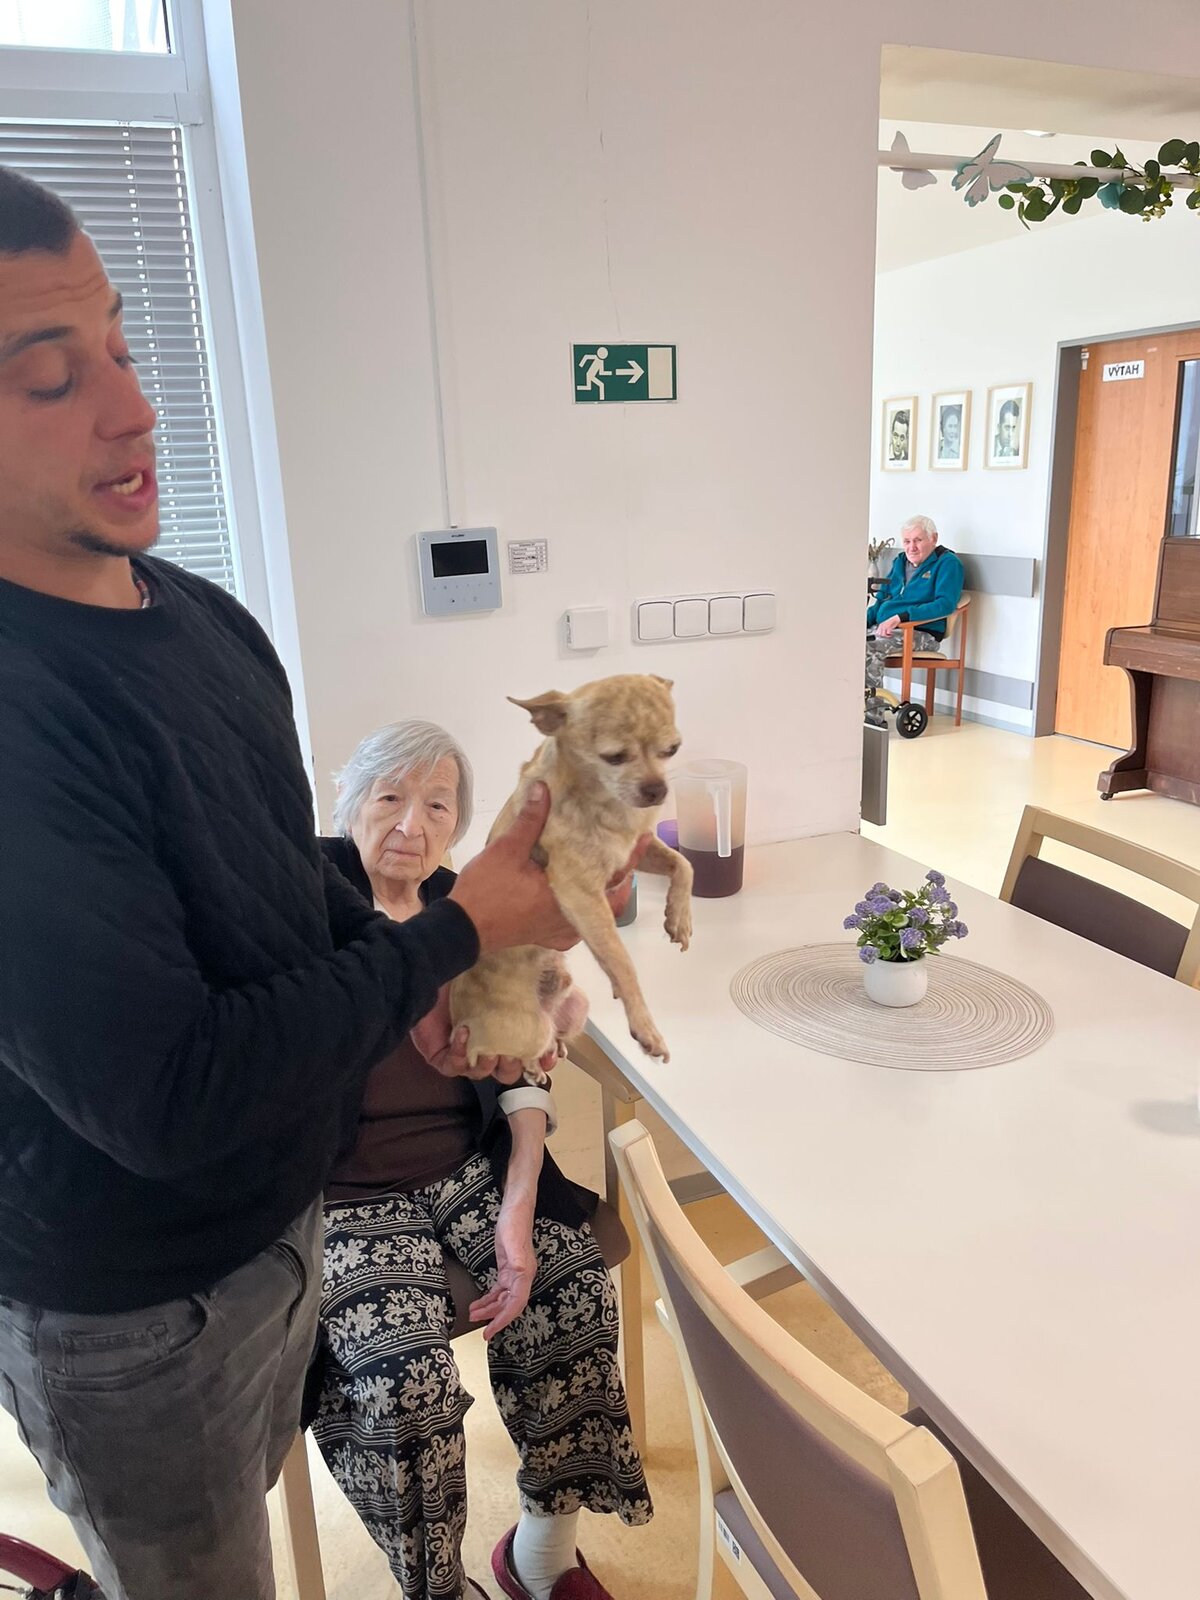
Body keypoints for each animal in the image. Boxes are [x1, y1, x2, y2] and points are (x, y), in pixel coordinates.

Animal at [449, 674, 693, 1068]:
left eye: (672, 749)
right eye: (614, 757)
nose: (657, 789)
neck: (605, 803)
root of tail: (459, 1023)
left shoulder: (638, 851)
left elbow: (684, 864)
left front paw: (679, 917)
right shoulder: (582, 895)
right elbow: (621, 959)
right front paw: (645, 1025)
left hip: (575, 1006)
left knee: (556, 1034)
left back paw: (556, 1047)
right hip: (525, 1031)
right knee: (511, 1052)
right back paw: (534, 1066)